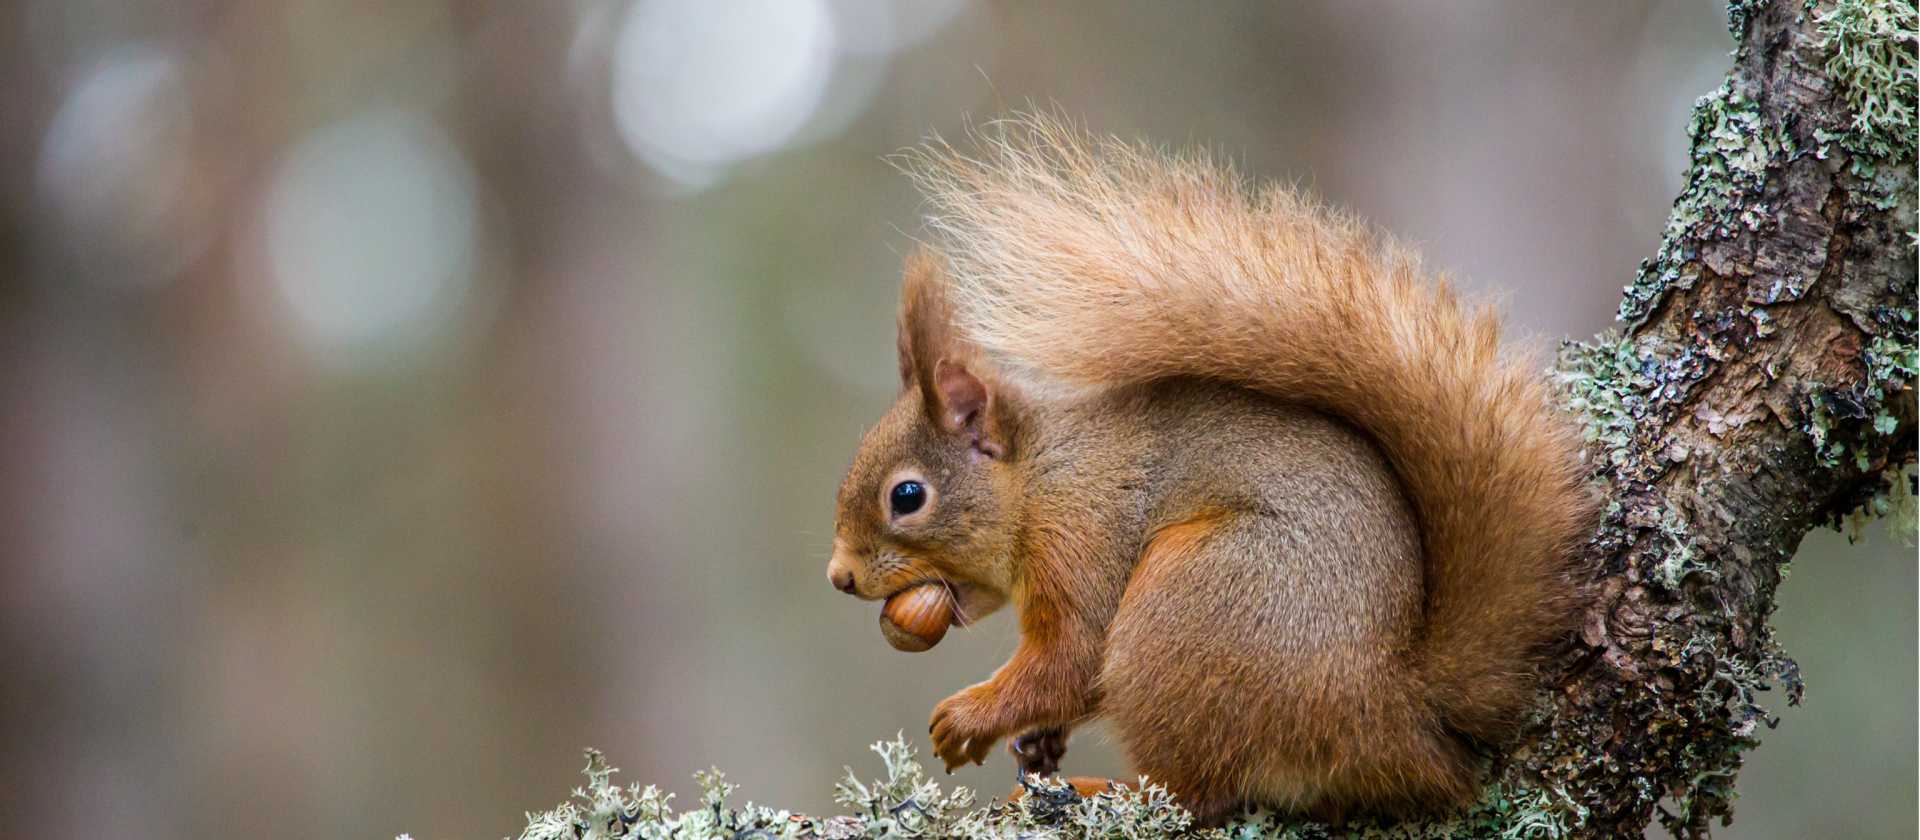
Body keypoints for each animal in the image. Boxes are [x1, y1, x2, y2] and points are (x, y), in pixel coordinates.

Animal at [825, 115, 1595, 825]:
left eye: (907, 495)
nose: (840, 578)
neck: (1043, 478)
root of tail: (1394, 710)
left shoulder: (1084, 539)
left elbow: (1071, 660)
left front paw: (971, 715)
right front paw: (1037, 742)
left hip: (1191, 606)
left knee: (1197, 795)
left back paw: (1102, 790)